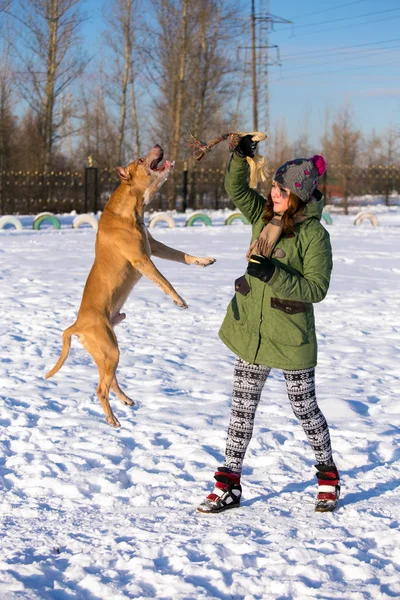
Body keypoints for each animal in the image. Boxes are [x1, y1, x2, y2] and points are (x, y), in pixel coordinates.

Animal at [46, 145, 216, 426]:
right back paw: (112, 418)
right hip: (109, 349)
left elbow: (182, 255)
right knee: (101, 388)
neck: (129, 208)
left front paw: (203, 261)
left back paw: (125, 400)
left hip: (106, 353)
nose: (157, 146)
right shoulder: (142, 259)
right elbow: (164, 280)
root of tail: (77, 325)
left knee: (110, 380)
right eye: (140, 159)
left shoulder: (155, 247)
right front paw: (178, 300)